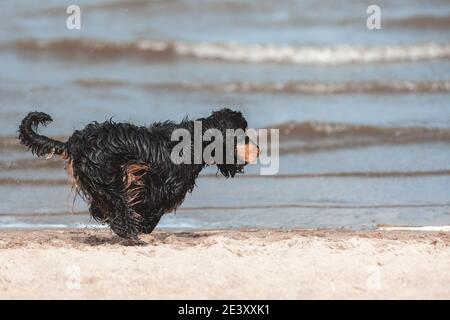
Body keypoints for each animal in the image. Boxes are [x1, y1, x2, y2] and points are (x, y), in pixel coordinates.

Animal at [19, 109, 258, 239]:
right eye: (242, 133)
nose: (257, 148)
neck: (196, 141)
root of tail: (74, 143)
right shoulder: (162, 187)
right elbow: (153, 209)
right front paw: (142, 226)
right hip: (107, 177)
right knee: (117, 205)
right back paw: (128, 229)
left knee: (105, 207)